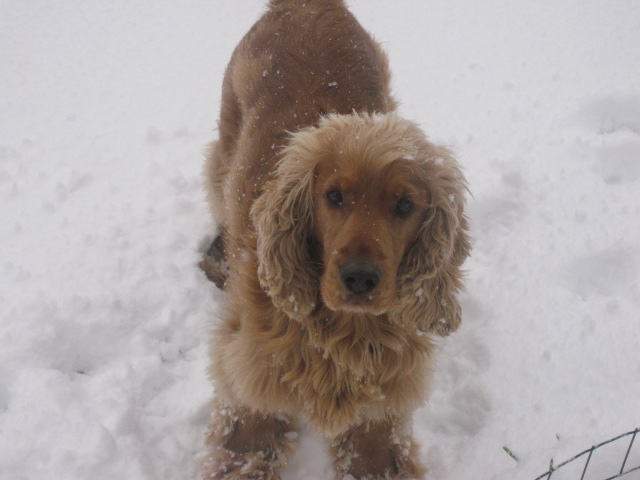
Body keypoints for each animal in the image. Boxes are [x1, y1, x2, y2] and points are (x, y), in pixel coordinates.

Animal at [202, 1, 472, 478]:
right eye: (333, 196)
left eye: (405, 205)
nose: (360, 278)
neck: (343, 330)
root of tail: (308, 5)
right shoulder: (251, 385)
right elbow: (246, 447)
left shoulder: (379, 409)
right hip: (225, 139)